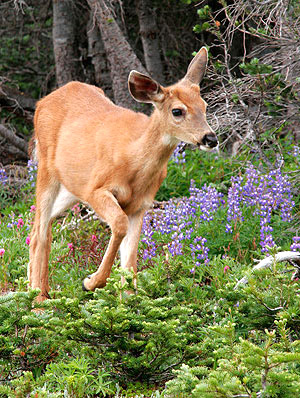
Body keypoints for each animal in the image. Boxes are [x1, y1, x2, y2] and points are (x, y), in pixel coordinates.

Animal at [28, 47, 218, 302]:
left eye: (204, 106)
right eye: (177, 111)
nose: (210, 138)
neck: (134, 163)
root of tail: (42, 102)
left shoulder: (140, 205)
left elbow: (130, 260)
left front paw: (128, 299)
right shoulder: (96, 189)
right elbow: (119, 225)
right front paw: (91, 282)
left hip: (71, 187)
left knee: (41, 226)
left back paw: (39, 291)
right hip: (47, 170)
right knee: (40, 230)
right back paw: (38, 299)